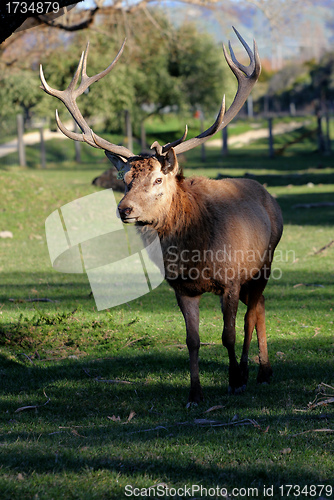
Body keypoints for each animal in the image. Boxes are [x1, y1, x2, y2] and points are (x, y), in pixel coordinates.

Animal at [40, 27, 284, 404]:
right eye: (124, 178)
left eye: (157, 179)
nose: (124, 209)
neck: (197, 253)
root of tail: (269, 196)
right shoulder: (181, 287)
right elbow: (192, 340)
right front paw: (194, 393)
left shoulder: (230, 279)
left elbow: (227, 334)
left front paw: (233, 380)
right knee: (259, 309)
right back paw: (259, 371)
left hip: (263, 263)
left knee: (253, 313)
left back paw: (256, 372)